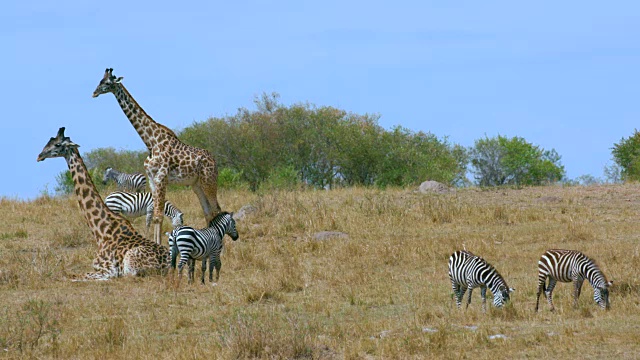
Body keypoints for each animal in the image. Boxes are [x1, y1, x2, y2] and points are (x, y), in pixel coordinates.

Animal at [36, 128, 169, 280]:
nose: (39, 156)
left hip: (130, 264)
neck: (100, 231)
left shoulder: (108, 268)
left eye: (57, 144)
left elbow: (72, 276)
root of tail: (168, 265)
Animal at [91, 67, 222, 245]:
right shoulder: (152, 180)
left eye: (106, 82)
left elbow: (159, 215)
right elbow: (155, 215)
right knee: (208, 211)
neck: (151, 142)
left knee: (216, 209)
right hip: (197, 185)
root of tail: (214, 161)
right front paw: (156, 243)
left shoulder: (161, 177)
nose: (94, 92)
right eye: (100, 80)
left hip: (208, 180)